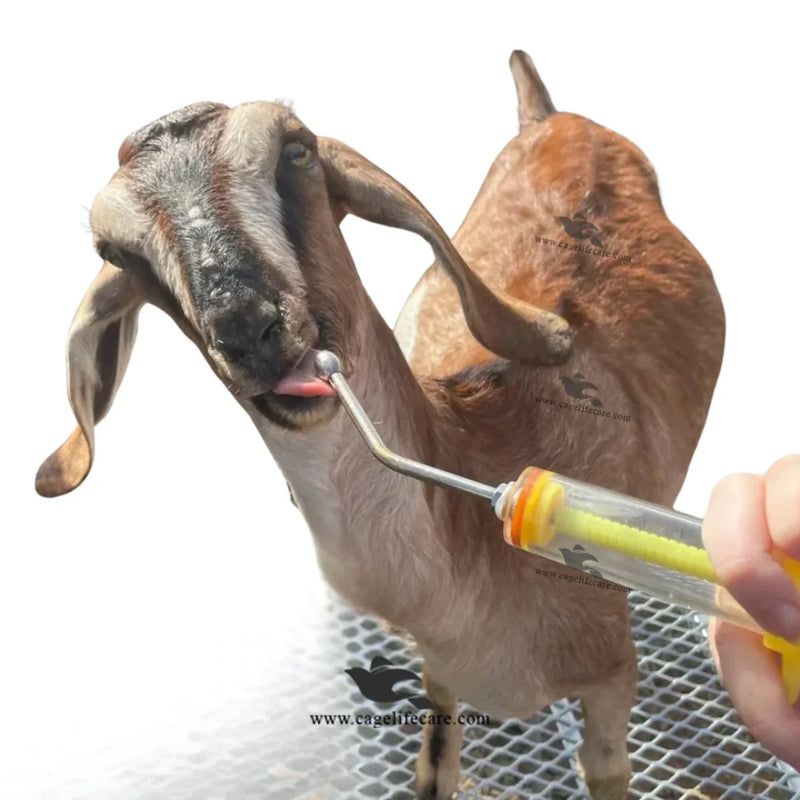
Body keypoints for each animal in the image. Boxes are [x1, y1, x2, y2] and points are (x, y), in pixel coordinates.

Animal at [36, 50, 724, 800]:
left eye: (297, 151)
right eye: (116, 251)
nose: (246, 329)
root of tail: (549, 118)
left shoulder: (610, 680)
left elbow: (605, 763)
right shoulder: (442, 674)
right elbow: (433, 758)